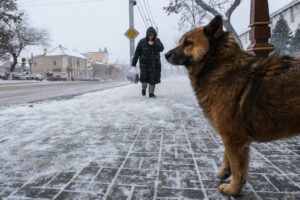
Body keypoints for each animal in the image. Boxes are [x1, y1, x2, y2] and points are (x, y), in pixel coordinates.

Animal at [165, 15, 300, 195]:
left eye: (188, 43)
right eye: (181, 42)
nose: (165, 54)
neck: (216, 64)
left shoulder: (233, 136)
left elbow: (238, 167)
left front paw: (233, 188)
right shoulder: (229, 133)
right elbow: (226, 155)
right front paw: (225, 172)